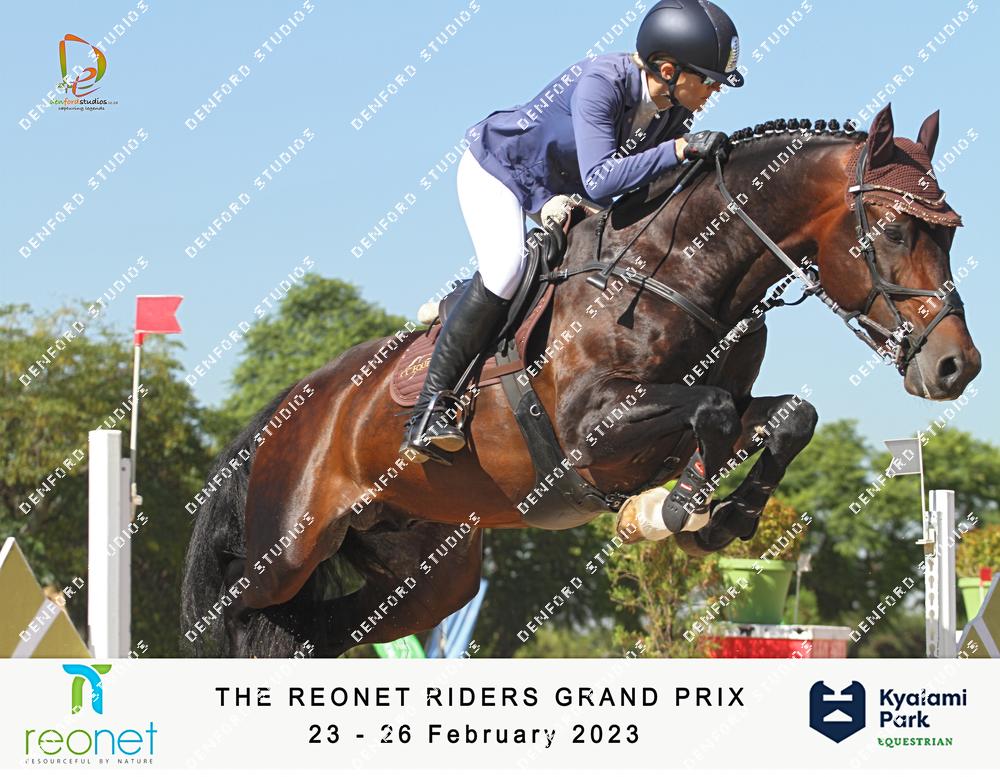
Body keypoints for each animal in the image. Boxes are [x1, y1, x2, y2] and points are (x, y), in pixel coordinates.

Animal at [180, 103, 979, 657]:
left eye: (950, 232)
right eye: (895, 230)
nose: (957, 367)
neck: (683, 270)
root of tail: (291, 402)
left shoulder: (703, 409)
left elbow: (787, 417)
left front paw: (725, 519)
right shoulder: (591, 432)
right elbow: (714, 412)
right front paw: (674, 510)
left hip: (429, 571)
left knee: (322, 628)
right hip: (289, 547)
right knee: (245, 609)